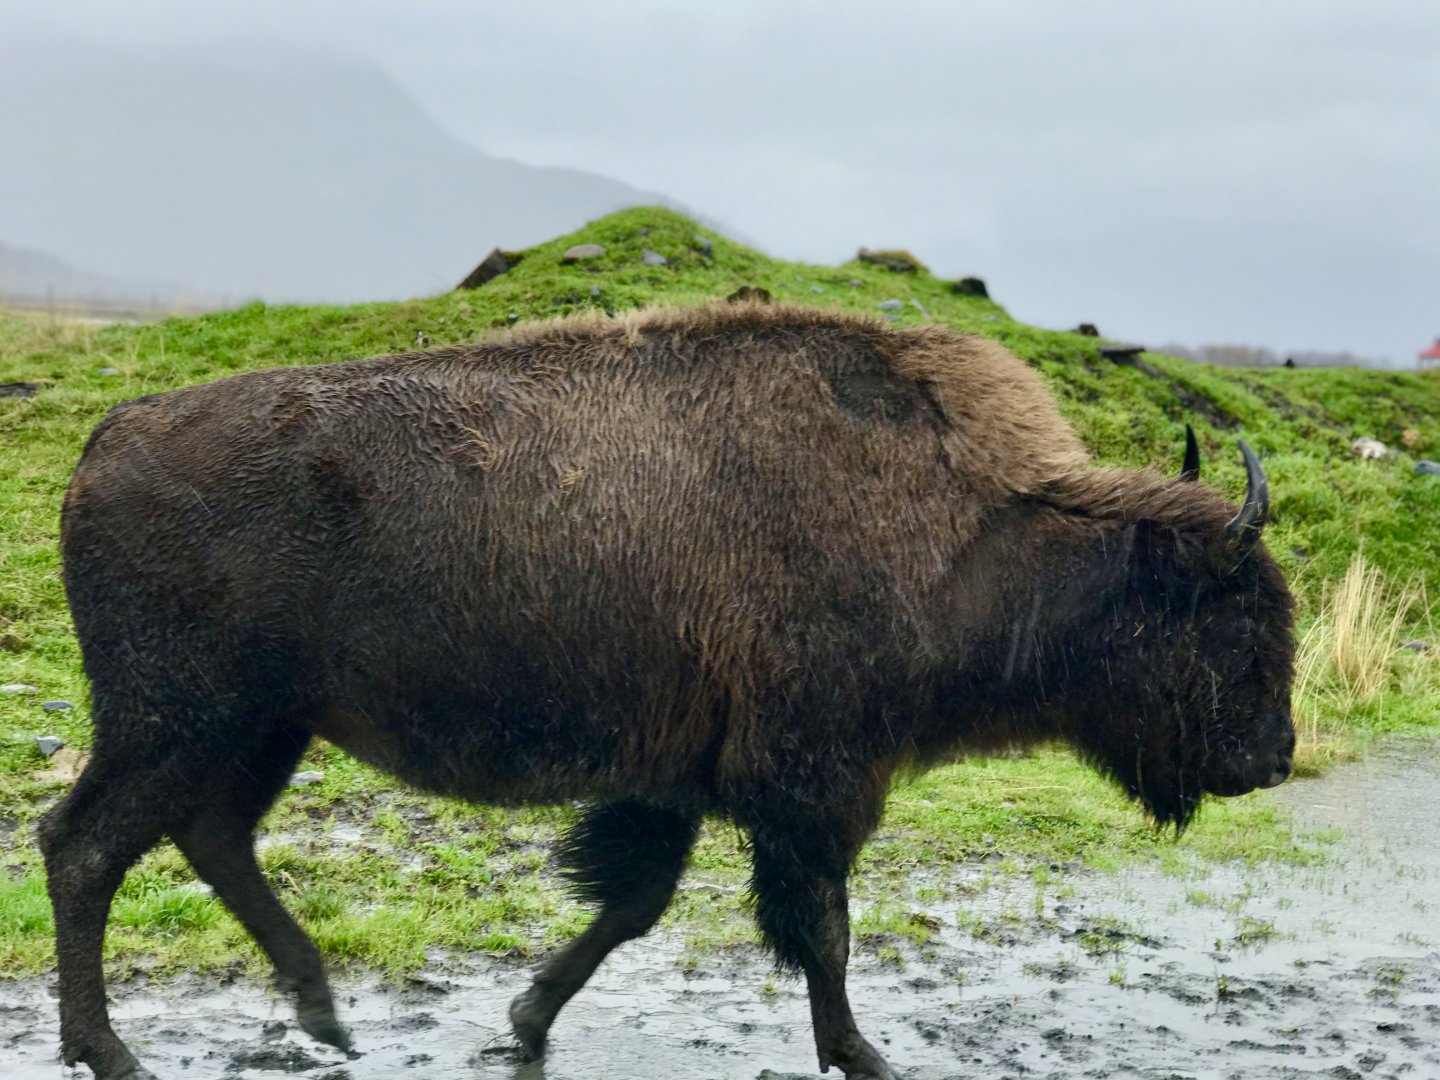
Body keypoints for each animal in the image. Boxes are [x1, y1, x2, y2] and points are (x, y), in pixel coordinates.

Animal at [41, 302, 1295, 1079]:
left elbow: (632, 905)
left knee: (208, 838)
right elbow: (821, 927)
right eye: (1236, 617)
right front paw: (865, 1055)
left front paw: (525, 1023)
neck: (979, 531)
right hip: (176, 722)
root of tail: (106, 437)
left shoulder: (681, 778)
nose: (1275, 755)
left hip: (261, 729)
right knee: (86, 846)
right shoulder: (812, 784)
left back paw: (325, 1018)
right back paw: (115, 1053)